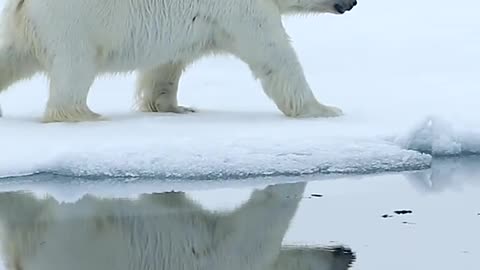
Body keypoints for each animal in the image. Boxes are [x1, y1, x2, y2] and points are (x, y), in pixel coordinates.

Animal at [0, 0, 356, 122]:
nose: (352, 1)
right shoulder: (244, 10)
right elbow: (275, 55)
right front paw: (324, 109)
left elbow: (166, 65)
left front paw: (173, 107)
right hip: (74, 22)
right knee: (76, 66)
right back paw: (83, 114)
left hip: (24, 28)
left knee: (10, 56)